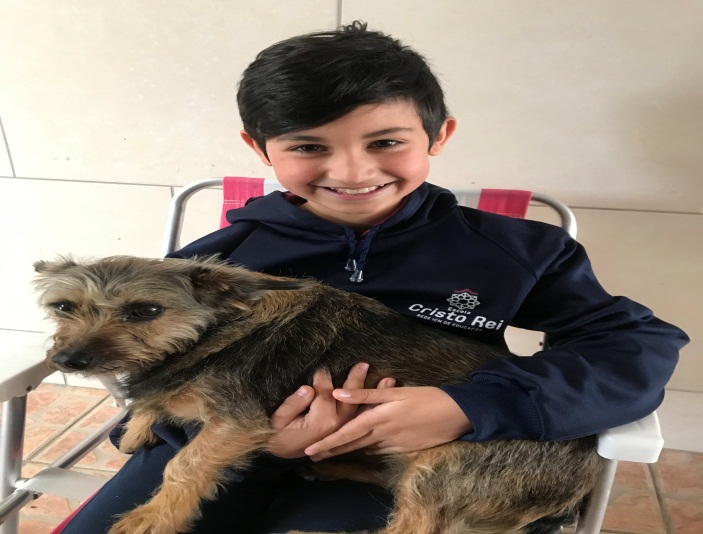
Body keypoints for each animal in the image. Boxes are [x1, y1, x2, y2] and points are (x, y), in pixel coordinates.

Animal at [34, 255, 605, 534]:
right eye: (64, 307)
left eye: (145, 311)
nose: (68, 361)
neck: (212, 329)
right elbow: (152, 402)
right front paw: (137, 426)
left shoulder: (237, 421)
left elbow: (184, 465)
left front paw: (152, 518)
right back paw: (327, 465)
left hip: (442, 464)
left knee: (412, 529)